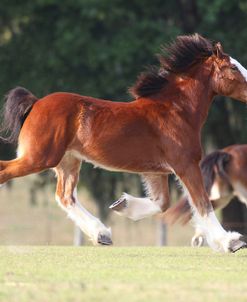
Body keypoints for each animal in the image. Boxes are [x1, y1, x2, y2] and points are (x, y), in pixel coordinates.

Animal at [0, 34, 247, 251]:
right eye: (233, 68)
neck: (177, 111)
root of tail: (35, 103)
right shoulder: (186, 165)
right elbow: (202, 203)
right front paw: (231, 242)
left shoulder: (156, 171)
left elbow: (162, 203)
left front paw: (122, 204)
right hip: (39, 157)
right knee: (6, 172)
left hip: (68, 161)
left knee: (65, 196)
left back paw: (102, 234)